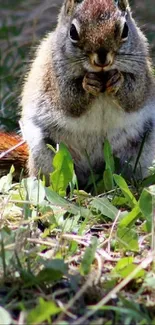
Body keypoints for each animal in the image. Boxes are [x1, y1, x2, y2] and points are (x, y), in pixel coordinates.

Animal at [0, 0, 155, 186]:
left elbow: (135, 97)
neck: (102, 75)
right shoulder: (54, 80)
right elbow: (70, 102)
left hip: (141, 148)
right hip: (45, 151)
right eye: (73, 32)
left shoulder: (142, 72)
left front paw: (118, 80)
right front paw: (87, 83)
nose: (102, 58)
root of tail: (91, 174)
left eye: (125, 29)